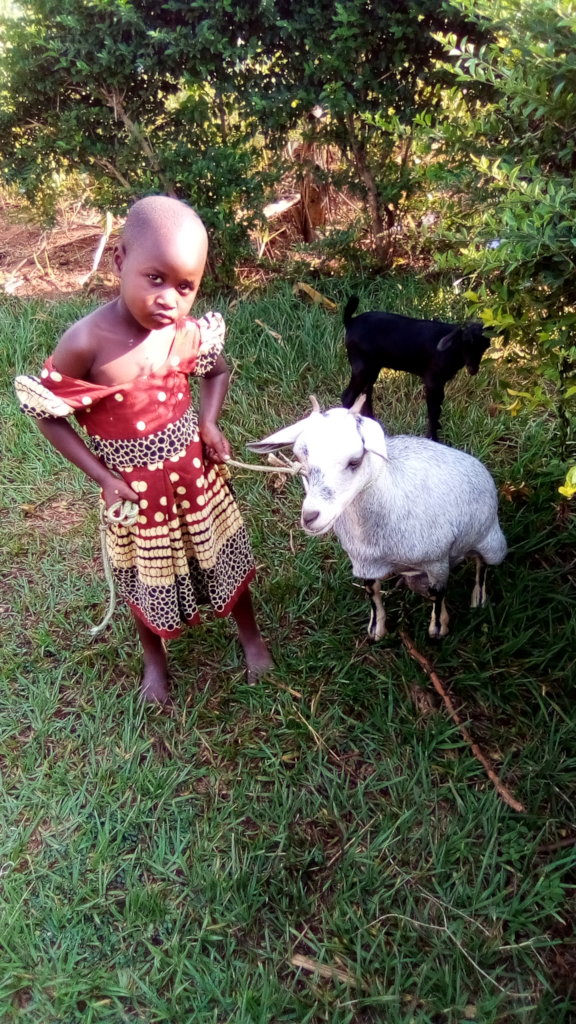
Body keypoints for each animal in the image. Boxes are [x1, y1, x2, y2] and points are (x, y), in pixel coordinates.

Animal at [248, 396, 506, 640]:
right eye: (300, 458)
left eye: (355, 461)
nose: (310, 516)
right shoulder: (365, 563)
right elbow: (372, 592)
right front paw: (376, 629)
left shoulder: (437, 560)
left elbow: (438, 594)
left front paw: (438, 629)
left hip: (491, 541)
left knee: (482, 564)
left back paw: (479, 598)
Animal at [341, 295, 491, 441]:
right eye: (465, 343)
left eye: (485, 346)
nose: (473, 369)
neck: (451, 349)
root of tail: (350, 321)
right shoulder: (433, 381)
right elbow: (433, 410)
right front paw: (433, 438)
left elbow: (438, 407)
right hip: (361, 366)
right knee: (347, 396)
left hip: (373, 367)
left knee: (366, 393)